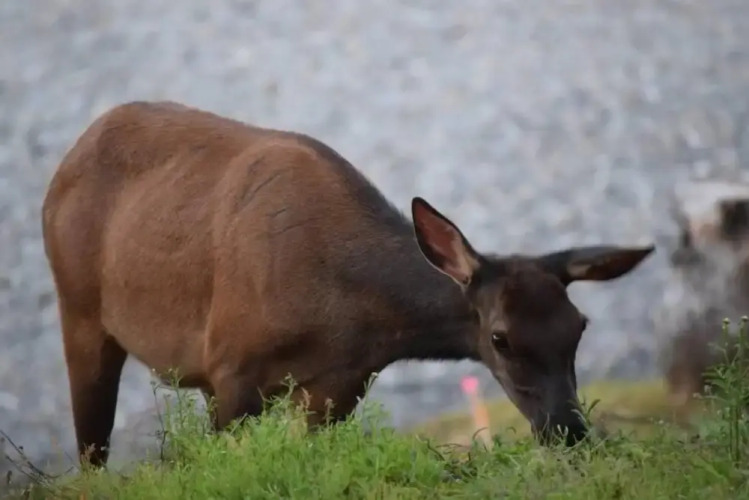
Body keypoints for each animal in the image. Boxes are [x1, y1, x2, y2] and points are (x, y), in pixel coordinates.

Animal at [41, 101, 655, 468]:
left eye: (579, 328)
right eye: (500, 338)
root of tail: (68, 159)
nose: (569, 430)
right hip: (80, 308)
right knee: (91, 452)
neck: (346, 313)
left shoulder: (340, 384)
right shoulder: (231, 366)